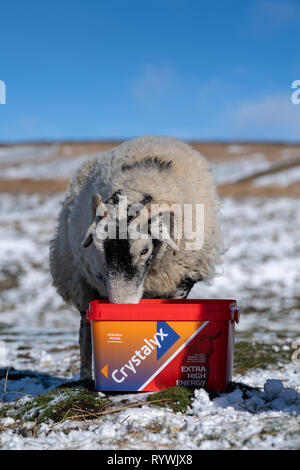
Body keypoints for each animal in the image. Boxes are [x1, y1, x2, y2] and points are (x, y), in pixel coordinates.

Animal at [49, 135, 223, 378]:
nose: (123, 305)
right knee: (85, 325)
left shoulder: (182, 281)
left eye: (144, 251)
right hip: (76, 278)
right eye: (101, 250)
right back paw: (85, 375)